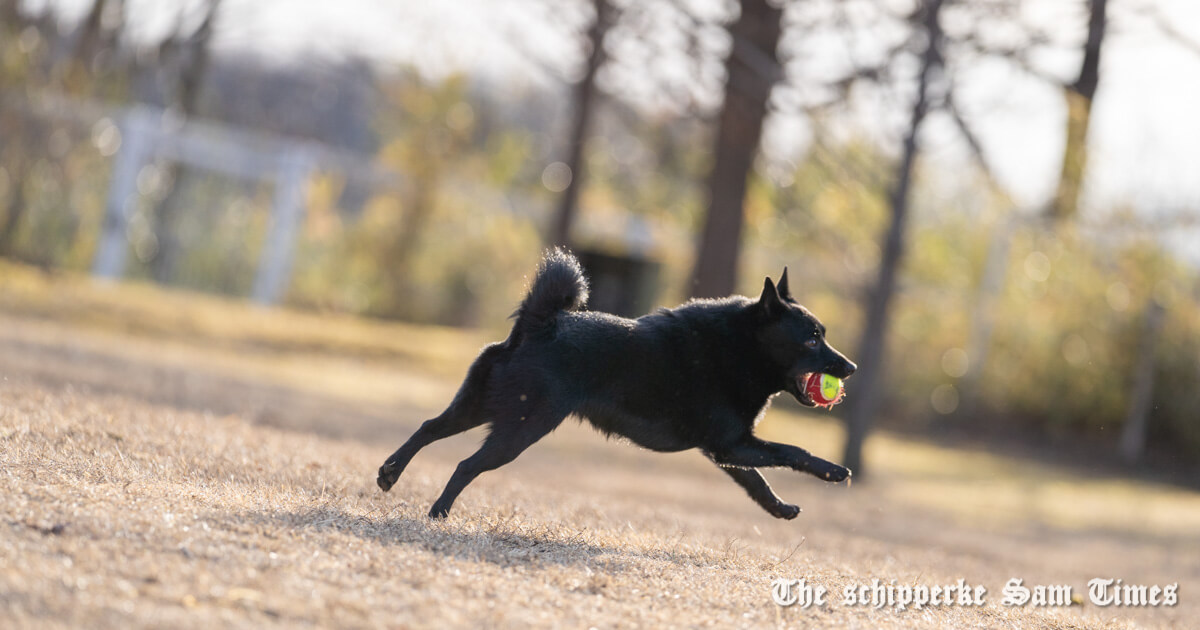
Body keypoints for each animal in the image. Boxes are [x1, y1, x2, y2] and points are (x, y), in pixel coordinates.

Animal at [374, 248, 854, 518]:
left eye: (824, 333)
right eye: (812, 338)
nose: (849, 368)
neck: (741, 347)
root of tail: (539, 324)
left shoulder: (727, 450)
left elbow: (757, 483)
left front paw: (781, 509)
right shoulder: (733, 444)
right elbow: (791, 452)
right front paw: (833, 471)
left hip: (479, 406)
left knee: (427, 428)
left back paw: (388, 475)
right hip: (521, 429)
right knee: (464, 465)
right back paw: (438, 513)